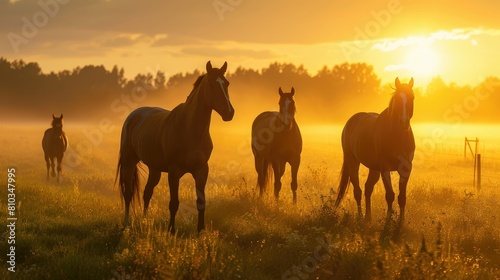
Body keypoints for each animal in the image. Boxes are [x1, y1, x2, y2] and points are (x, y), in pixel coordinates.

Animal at [116, 61, 235, 234]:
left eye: (226, 83)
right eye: (211, 84)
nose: (229, 112)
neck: (191, 129)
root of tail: (133, 116)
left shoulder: (202, 170)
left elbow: (201, 202)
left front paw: (201, 231)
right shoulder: (174, 171)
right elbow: (174, 203)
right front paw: (171, 230)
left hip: (154, 168)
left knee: (147, 192)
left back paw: (145, 221)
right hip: (129, 161)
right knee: (129, 193)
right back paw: (126, 223)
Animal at [336, 77, 418, 222]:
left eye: (412, 97)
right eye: (397, 99)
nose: (404, 123)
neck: (398, 136)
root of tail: (351, 122)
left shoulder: (406, 167)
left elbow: (402, 197)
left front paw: (401, 222)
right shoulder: (385, 168)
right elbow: (390, 195)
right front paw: (388, 221)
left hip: (374, 168)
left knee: (368, 188)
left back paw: (368, 217)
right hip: (352, 161)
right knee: (357, 191)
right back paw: (360, 216)